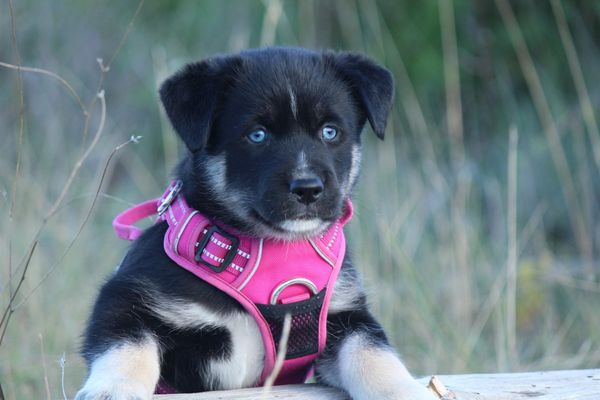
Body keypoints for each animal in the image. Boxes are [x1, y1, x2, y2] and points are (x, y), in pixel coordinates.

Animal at [76, 47, 436, 400]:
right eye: (257, 135)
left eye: (330, 132)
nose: (308, 188)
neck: (271, 249)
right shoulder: (125, 297)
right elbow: (127, 344)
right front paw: (113, 389)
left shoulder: (345, 315)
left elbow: (372, 351)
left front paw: (402, 389)